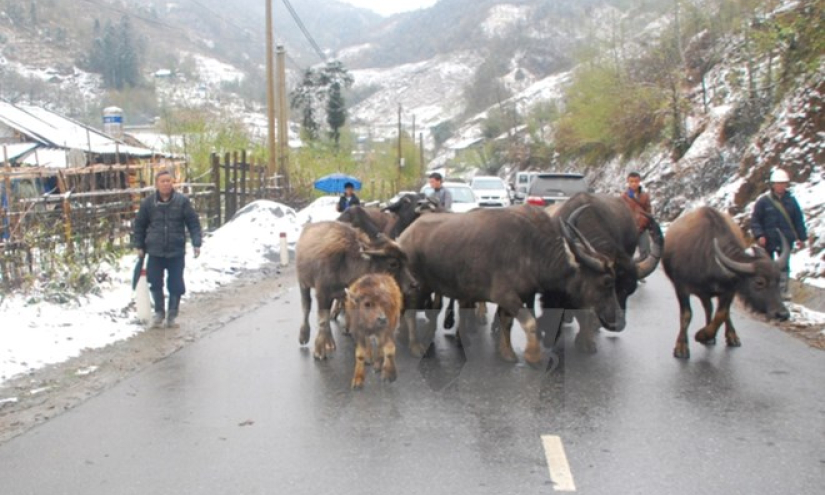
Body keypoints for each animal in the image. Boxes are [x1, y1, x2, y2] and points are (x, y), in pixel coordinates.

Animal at [292, 222, 416, 360]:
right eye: (393, 263)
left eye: (406, 261)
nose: (413, 284)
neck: (346, 264)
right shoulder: (322, 294)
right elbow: (323, 319)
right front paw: (320, 350)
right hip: (303, 284)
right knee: (306, 306)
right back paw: (305, 335)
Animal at [396, 205, 620, 364]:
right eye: (607, 282)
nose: (617, 319)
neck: (531, 250)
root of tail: (404, 236)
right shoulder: (506, 296)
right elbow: (530, 322)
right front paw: (533, 356)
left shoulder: (515, 297)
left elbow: (507, 323)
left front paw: (506, 352)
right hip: (418, 286)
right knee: (410, 312)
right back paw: (415, 346)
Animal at [660, 206, 788, 360]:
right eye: (759, 282)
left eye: (779, 280)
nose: (782, 314)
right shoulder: (681, 288)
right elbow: (686, 315)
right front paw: (681, 347)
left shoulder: (729, 291)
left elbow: (722, 314)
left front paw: (703, 334)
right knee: (708, 308)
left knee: (714, 310)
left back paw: (728, 336)